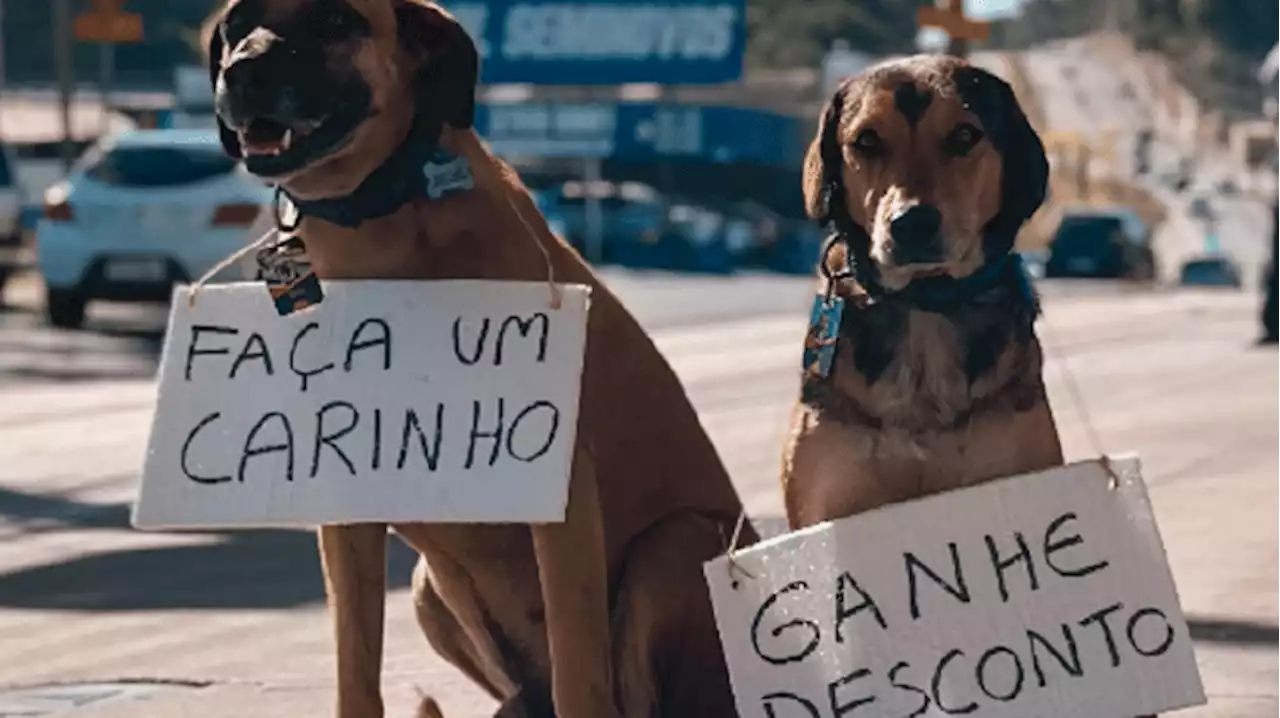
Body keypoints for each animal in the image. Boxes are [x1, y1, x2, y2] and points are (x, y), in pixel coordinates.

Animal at [204, 1, 752, 716]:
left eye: (334, 21)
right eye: (235, 25)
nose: (244, 73)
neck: (384, 225)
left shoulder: (561, 494)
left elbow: (582, 669)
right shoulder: (347, 501)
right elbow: (356, 669)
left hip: (675, 548)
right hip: (426, 591)